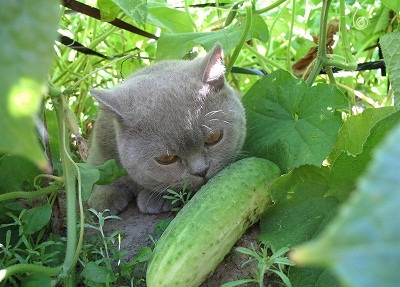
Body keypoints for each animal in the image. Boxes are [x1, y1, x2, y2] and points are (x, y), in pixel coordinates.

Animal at [86, 44, 247, 215]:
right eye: (166, 159)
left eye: (214, 137)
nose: (201, 171)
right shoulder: (100, 140)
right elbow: (99, 168)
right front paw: (104, 197)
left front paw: (156, 199)